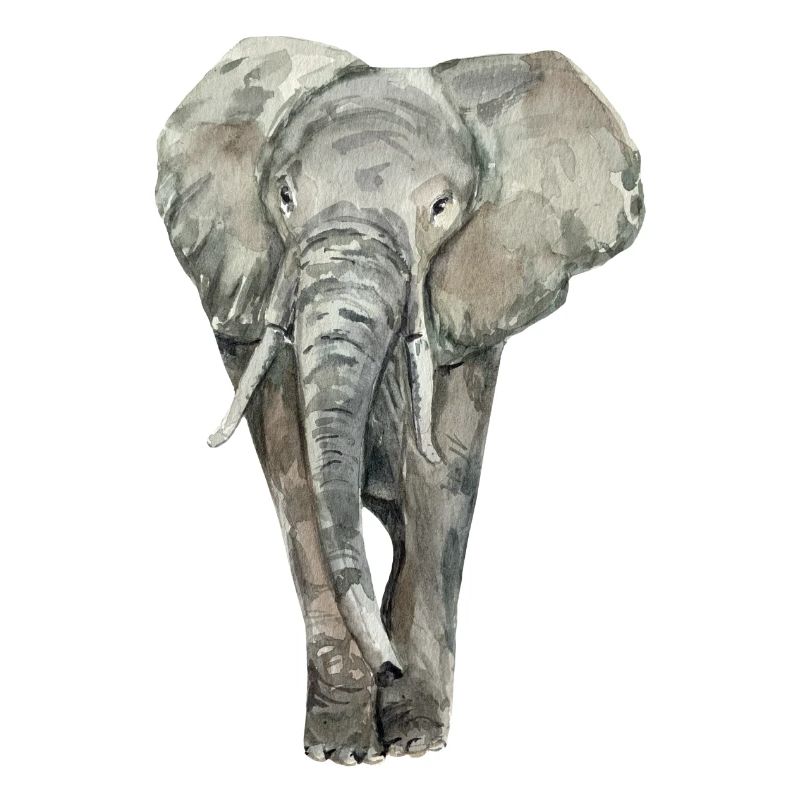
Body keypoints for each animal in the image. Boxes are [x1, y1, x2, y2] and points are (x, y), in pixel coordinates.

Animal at [155, 36, 644, 765]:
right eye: (286, 196)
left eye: (441, 207)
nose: (387, 666)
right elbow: (294, 471)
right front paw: (342, 750)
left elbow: (440, 477)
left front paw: (414, 742)